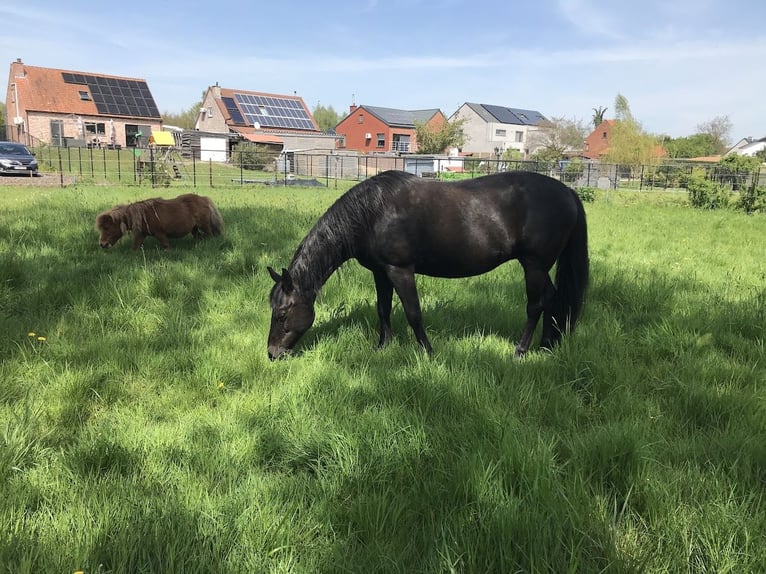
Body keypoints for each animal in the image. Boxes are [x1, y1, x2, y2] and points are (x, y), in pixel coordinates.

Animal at [267, 170, 588, 360]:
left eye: (282, 314)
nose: (272, 353)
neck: (372, 213)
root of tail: (568, 192)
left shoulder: (400, 271)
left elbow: (413, 313)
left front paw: (428, 352)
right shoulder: (381, 273)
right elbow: (383, 309)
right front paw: (383, 346)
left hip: (533, 265)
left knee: (535, 306)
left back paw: (521, 351)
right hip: (541, 268)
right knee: (552, 298)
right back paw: (546, 345)